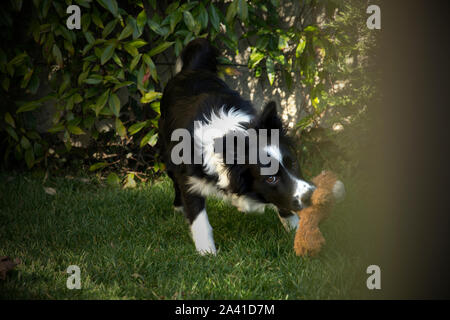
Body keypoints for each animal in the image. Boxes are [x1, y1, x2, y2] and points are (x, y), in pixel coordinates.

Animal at [158, 39, 316, 255]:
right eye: (271, 178)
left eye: (293, 163)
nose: (311, 196)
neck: (232, 133)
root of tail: (191, 69)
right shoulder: (189, 177)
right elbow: (199, 218)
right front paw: (207, 253)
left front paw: (297, 232)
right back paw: (178, 208)